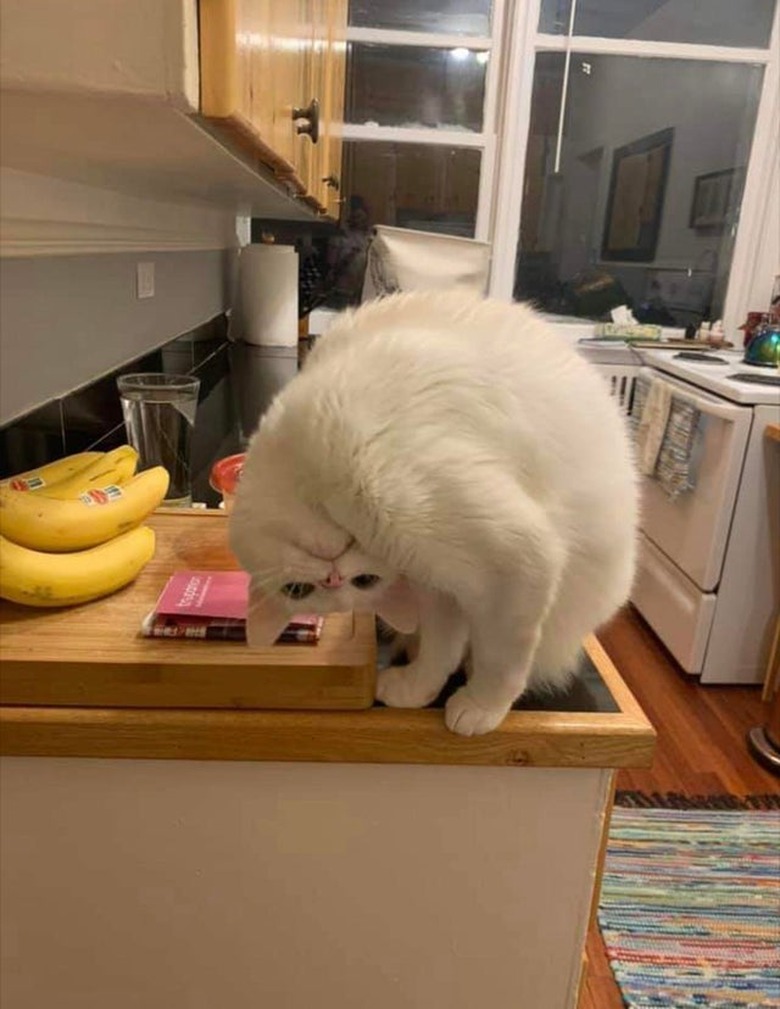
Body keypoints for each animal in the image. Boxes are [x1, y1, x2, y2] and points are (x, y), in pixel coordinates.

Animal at [228, 290, 637, 734]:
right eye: (298, 591)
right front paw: (416, 691)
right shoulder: (446, 582)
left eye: (364, 580)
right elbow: (441, 652)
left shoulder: (513, 562)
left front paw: (481, 708)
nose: (334, 578)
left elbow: (501, 662)